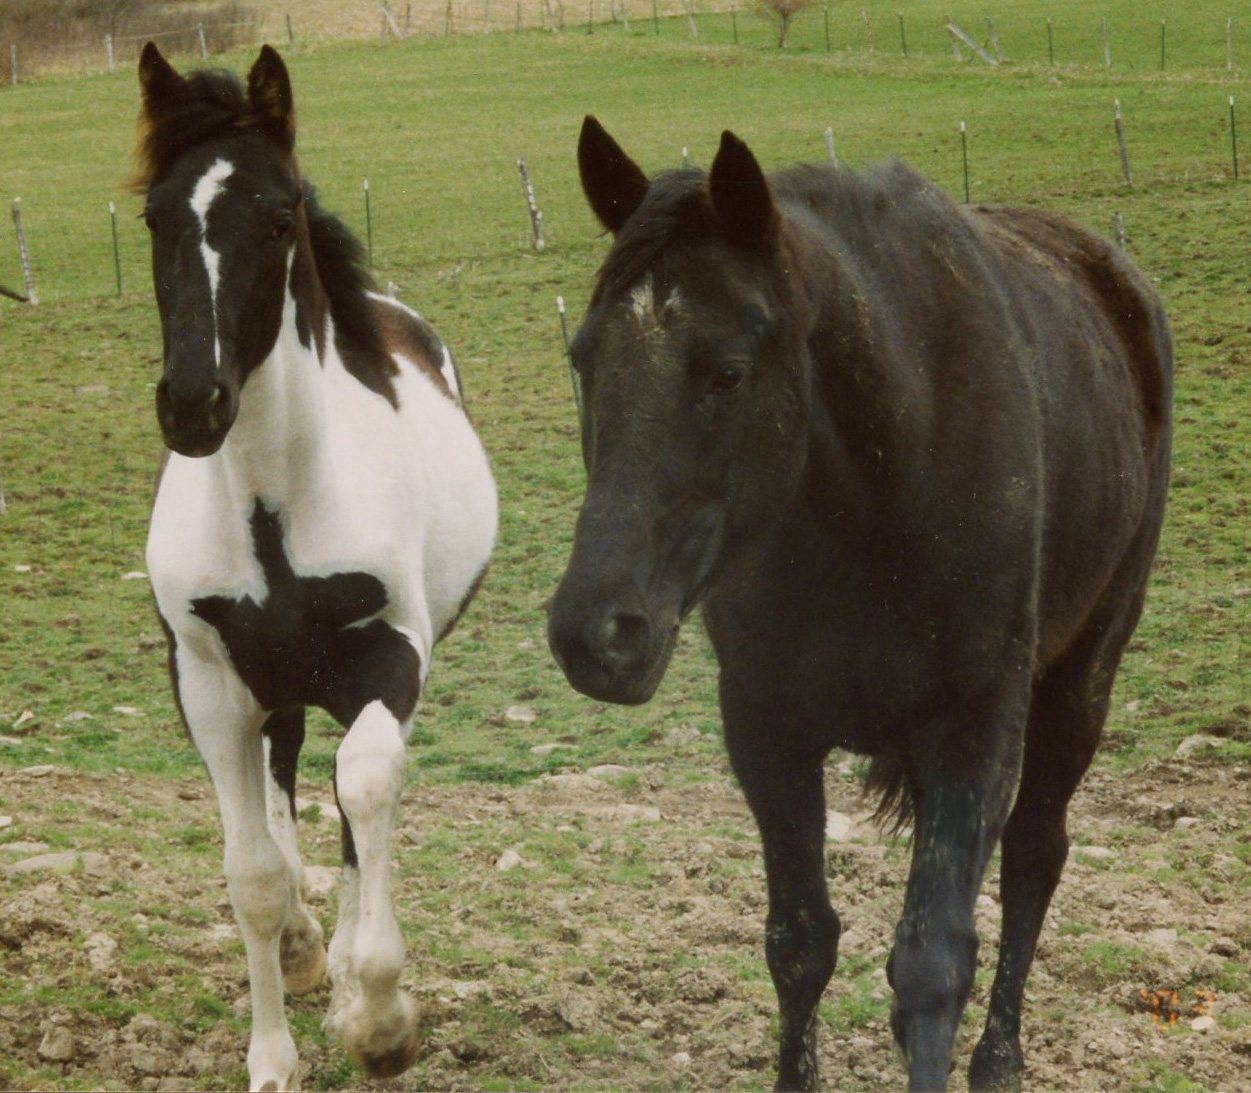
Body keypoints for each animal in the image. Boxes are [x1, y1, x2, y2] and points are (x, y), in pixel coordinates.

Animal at [134, 44, 497, 1090]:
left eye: (278, 212)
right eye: (154, 216)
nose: (194, 402)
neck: (275, 510)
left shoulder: (389, 656)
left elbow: (365, 786)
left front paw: (378, 1020)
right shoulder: (210, 683)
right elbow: (252, 872)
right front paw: (272, 1054)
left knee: (342, 792)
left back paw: (335, 955)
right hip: (278, 684)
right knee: (287, 770)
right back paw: (302, 949)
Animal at [548, 117, 1171, 1092]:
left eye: (727, 372)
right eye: (583, 359)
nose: (595, 633)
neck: (878, 489)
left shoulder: (976, 728)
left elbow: (931, 963)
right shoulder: (766, 729)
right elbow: (800, 940)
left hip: (1081, 681)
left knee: (1035, 859)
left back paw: (1000, 1058)